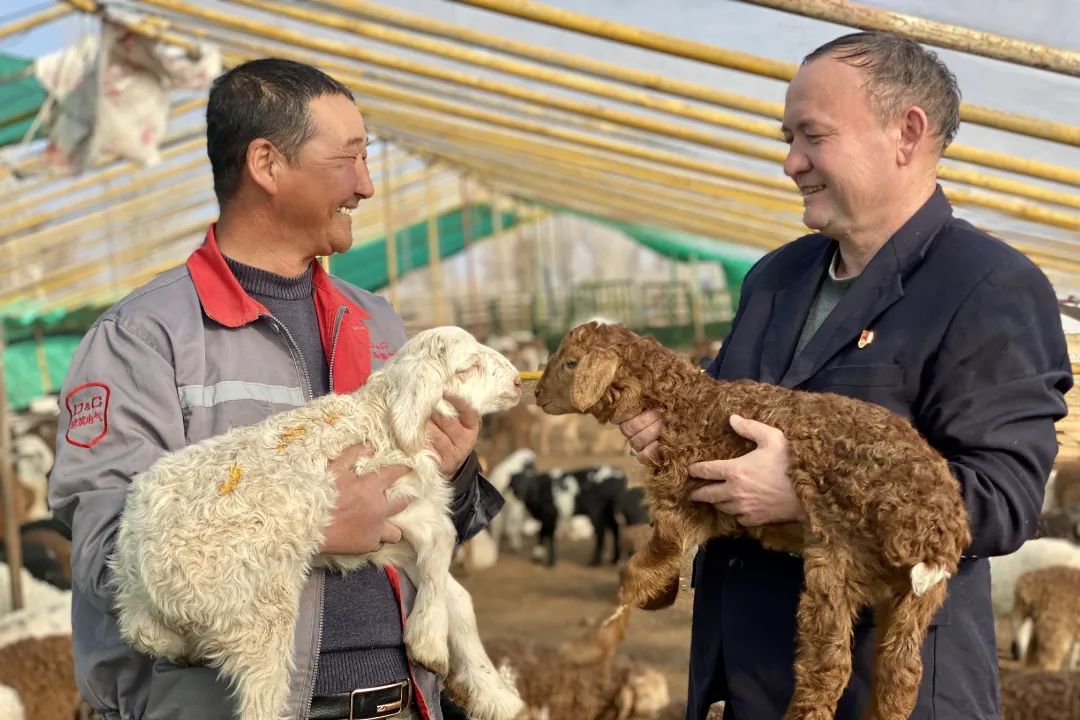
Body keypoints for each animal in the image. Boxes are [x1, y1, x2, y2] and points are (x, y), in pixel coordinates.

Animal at [108, 325, 527, 720]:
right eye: (468, 367)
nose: (518, 382)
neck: (383, 422)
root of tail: (139, 555)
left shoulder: (397, 542)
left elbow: (458, 597)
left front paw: (494, 695)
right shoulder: (389, 503)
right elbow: (443, 539)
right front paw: (429, 642)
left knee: (143, 634)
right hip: (256, 608)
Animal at [533, 323, 972, 720]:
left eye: (570, 363)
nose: (536, 393)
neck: (680, 403)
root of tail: (935, 529)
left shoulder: (679, 497)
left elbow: (654, 556)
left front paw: (635, 594)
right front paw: (657, 594)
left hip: (837, 564)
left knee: (829, 667)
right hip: (917, 596)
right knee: (901, 671)